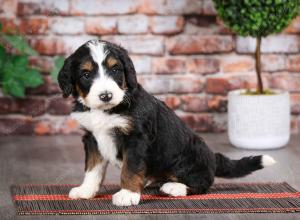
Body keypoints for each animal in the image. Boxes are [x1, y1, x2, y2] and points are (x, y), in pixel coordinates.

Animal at [57, 39, 276, 206]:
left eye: (116, 70)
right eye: (86, 74)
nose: (106, 95)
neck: (105, 111)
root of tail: (213, 157)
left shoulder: (136, 139)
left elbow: (131, 168)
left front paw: (127, 194)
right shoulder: (92, 138)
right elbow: (92, 169)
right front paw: (85, 190)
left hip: (190, 158)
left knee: (202, 183)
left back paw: (174, 187)